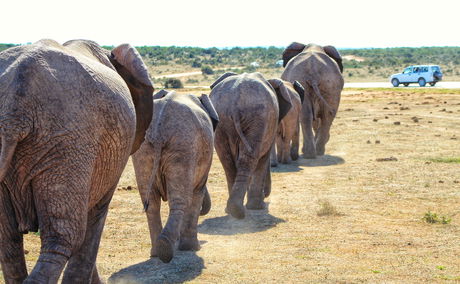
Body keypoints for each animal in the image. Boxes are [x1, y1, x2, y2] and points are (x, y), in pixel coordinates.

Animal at [0, 38, 155, 282]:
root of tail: (13, 111)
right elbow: (95, 218)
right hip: (68, 141)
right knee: (64, 238)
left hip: (58, 143)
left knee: (9, 241)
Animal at [133, 90, 219, 262]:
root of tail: (159, 130)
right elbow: (197, 192)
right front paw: (192, 248)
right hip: (183, 146)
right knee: (181, 200)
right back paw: (167, 249)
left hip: (145, 149)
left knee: (151, 202)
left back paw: (157, 251)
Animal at [208, 72, 292, 219]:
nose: (266, 195)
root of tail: (235, 101)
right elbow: (263, 158)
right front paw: (258, 207)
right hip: (258, 117)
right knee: (249, 159)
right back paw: (240, 211)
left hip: (222, 120)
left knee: (227, 160)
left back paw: (231, 210)